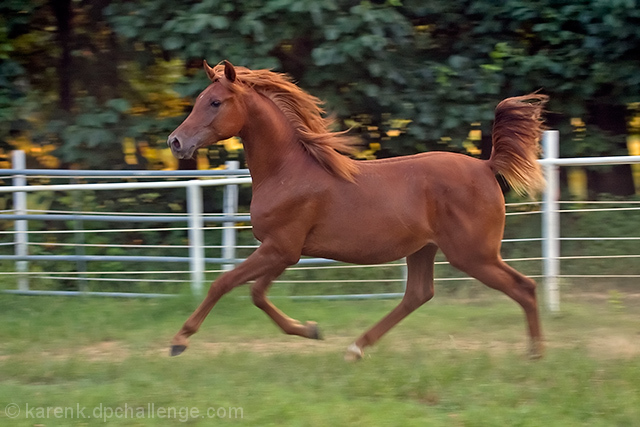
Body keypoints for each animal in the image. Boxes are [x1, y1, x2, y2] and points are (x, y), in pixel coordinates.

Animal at [168, 60, 548, 362]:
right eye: (199, 101)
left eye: (215, 102)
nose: (175, 142)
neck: (287, 171)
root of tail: (486, 166)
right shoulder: (285, 252)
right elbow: (257, 294)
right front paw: (311, 329)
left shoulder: (281, 248)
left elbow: (224, 283)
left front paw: (179, 341)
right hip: (424, 249)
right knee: (418, 295)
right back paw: (355, 348)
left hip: (473, 254)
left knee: (524, 287)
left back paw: (536, 354)